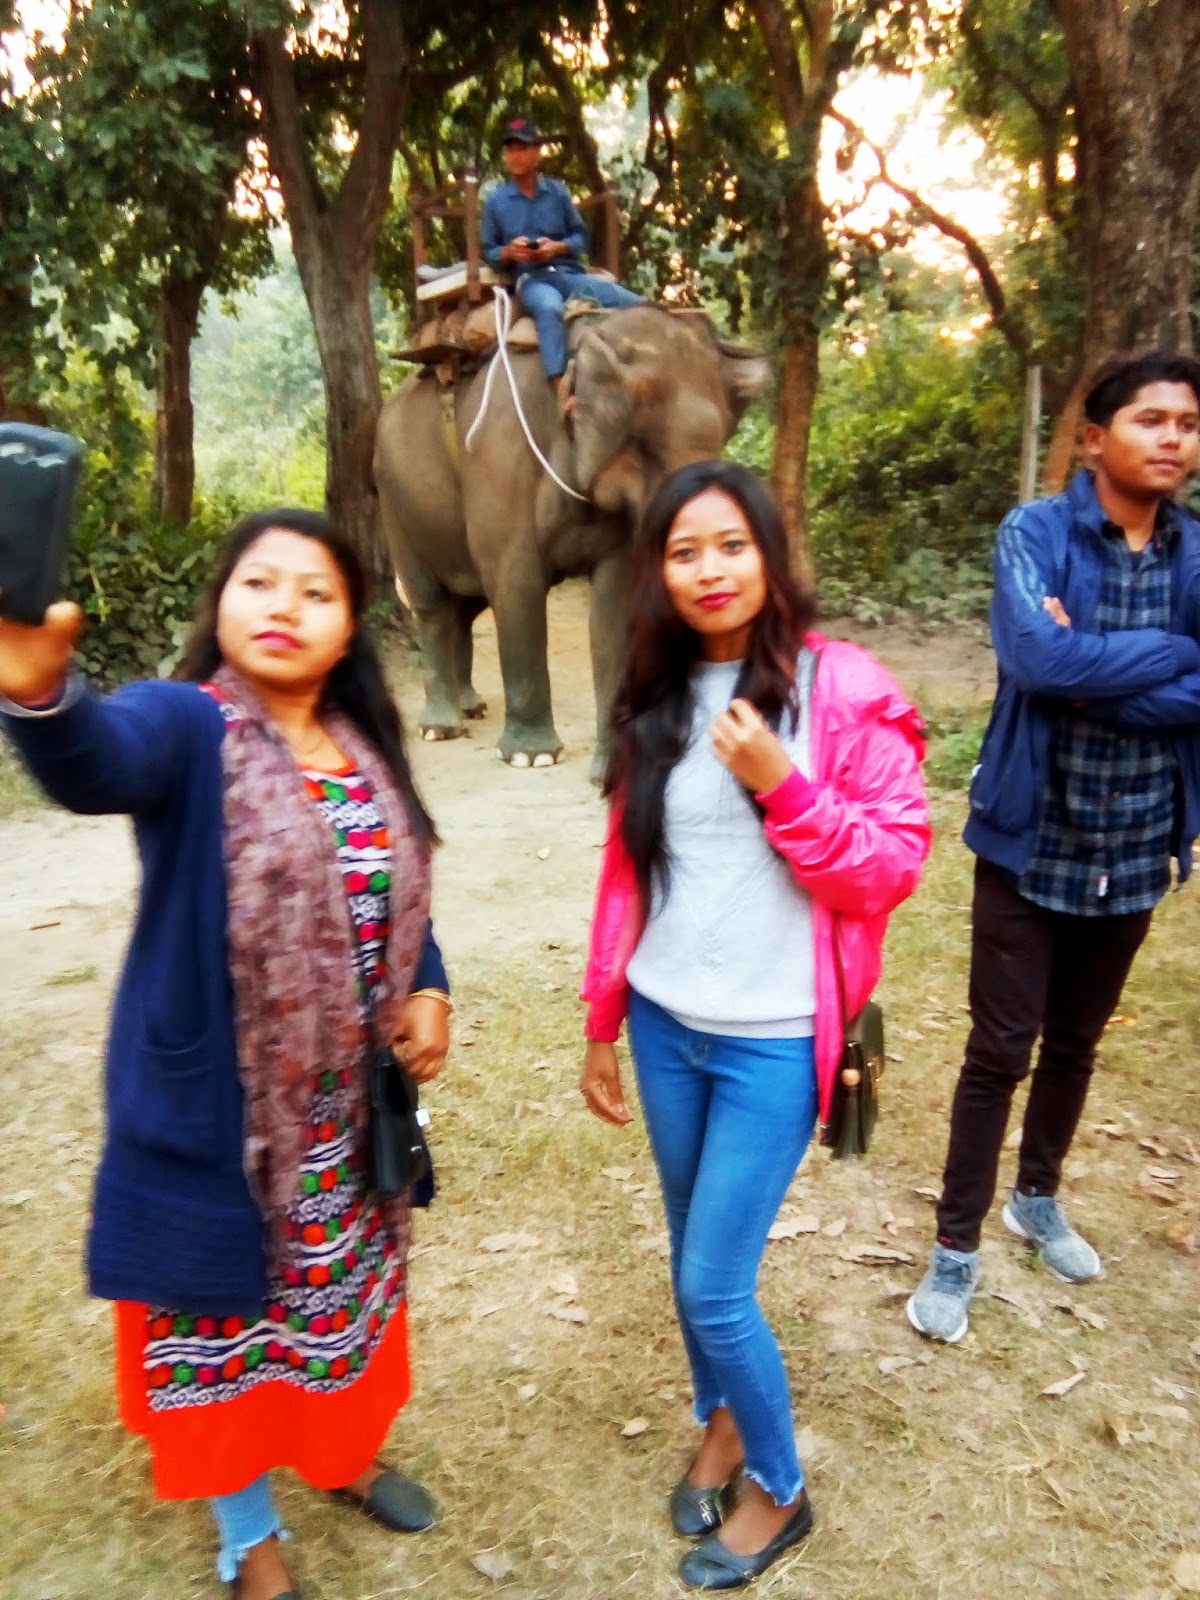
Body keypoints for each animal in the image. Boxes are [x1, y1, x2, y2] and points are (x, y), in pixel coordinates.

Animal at [372, 303, 770, 772]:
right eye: (645, 443)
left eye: (723, 437)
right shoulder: (498, 458)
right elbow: (517, 585)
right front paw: (531, 758)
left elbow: (615, 604)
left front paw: (612, 769)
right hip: (394, 500)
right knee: (432, 602)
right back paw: (441, 729)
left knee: (465, 607)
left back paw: (471, 708)